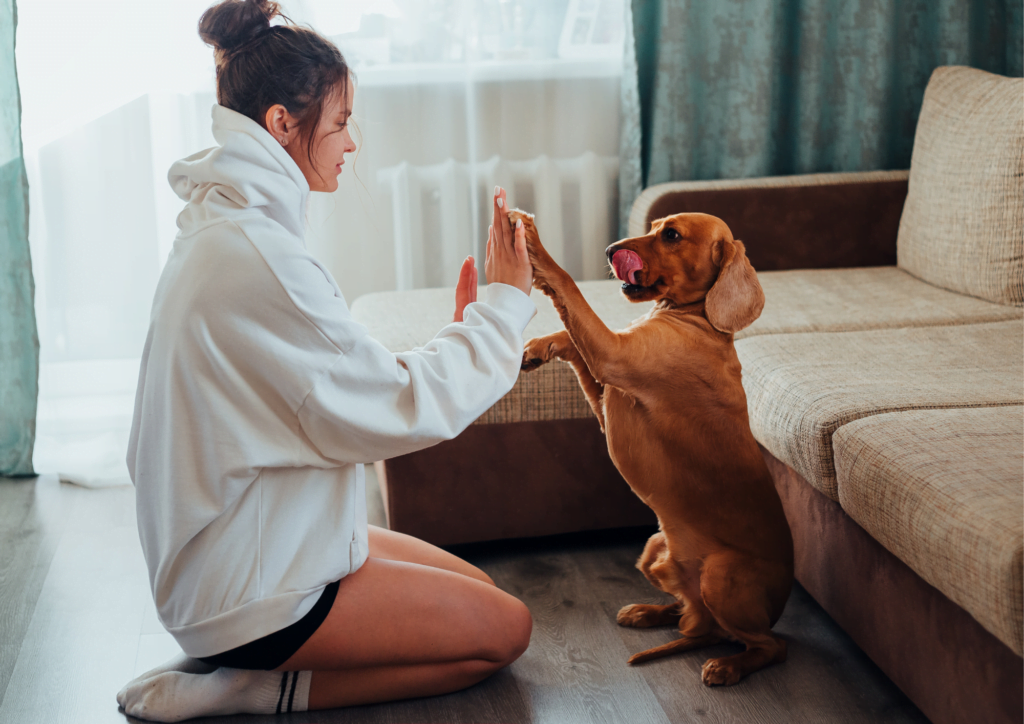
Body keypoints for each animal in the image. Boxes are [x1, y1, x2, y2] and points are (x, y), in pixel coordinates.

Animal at [516, 207, 794, 684]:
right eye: (653, 226)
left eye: (672, 236)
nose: (610, 250)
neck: (698, 319)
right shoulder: (606, 390)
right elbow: (572, 338)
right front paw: (538, 347)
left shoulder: (612, 355)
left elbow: (569, 287)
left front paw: (534, 246)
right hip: (654, 548)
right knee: (692, 616)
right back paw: (649, 612)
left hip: (720, 575)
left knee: (767, 646)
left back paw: (728, 666)